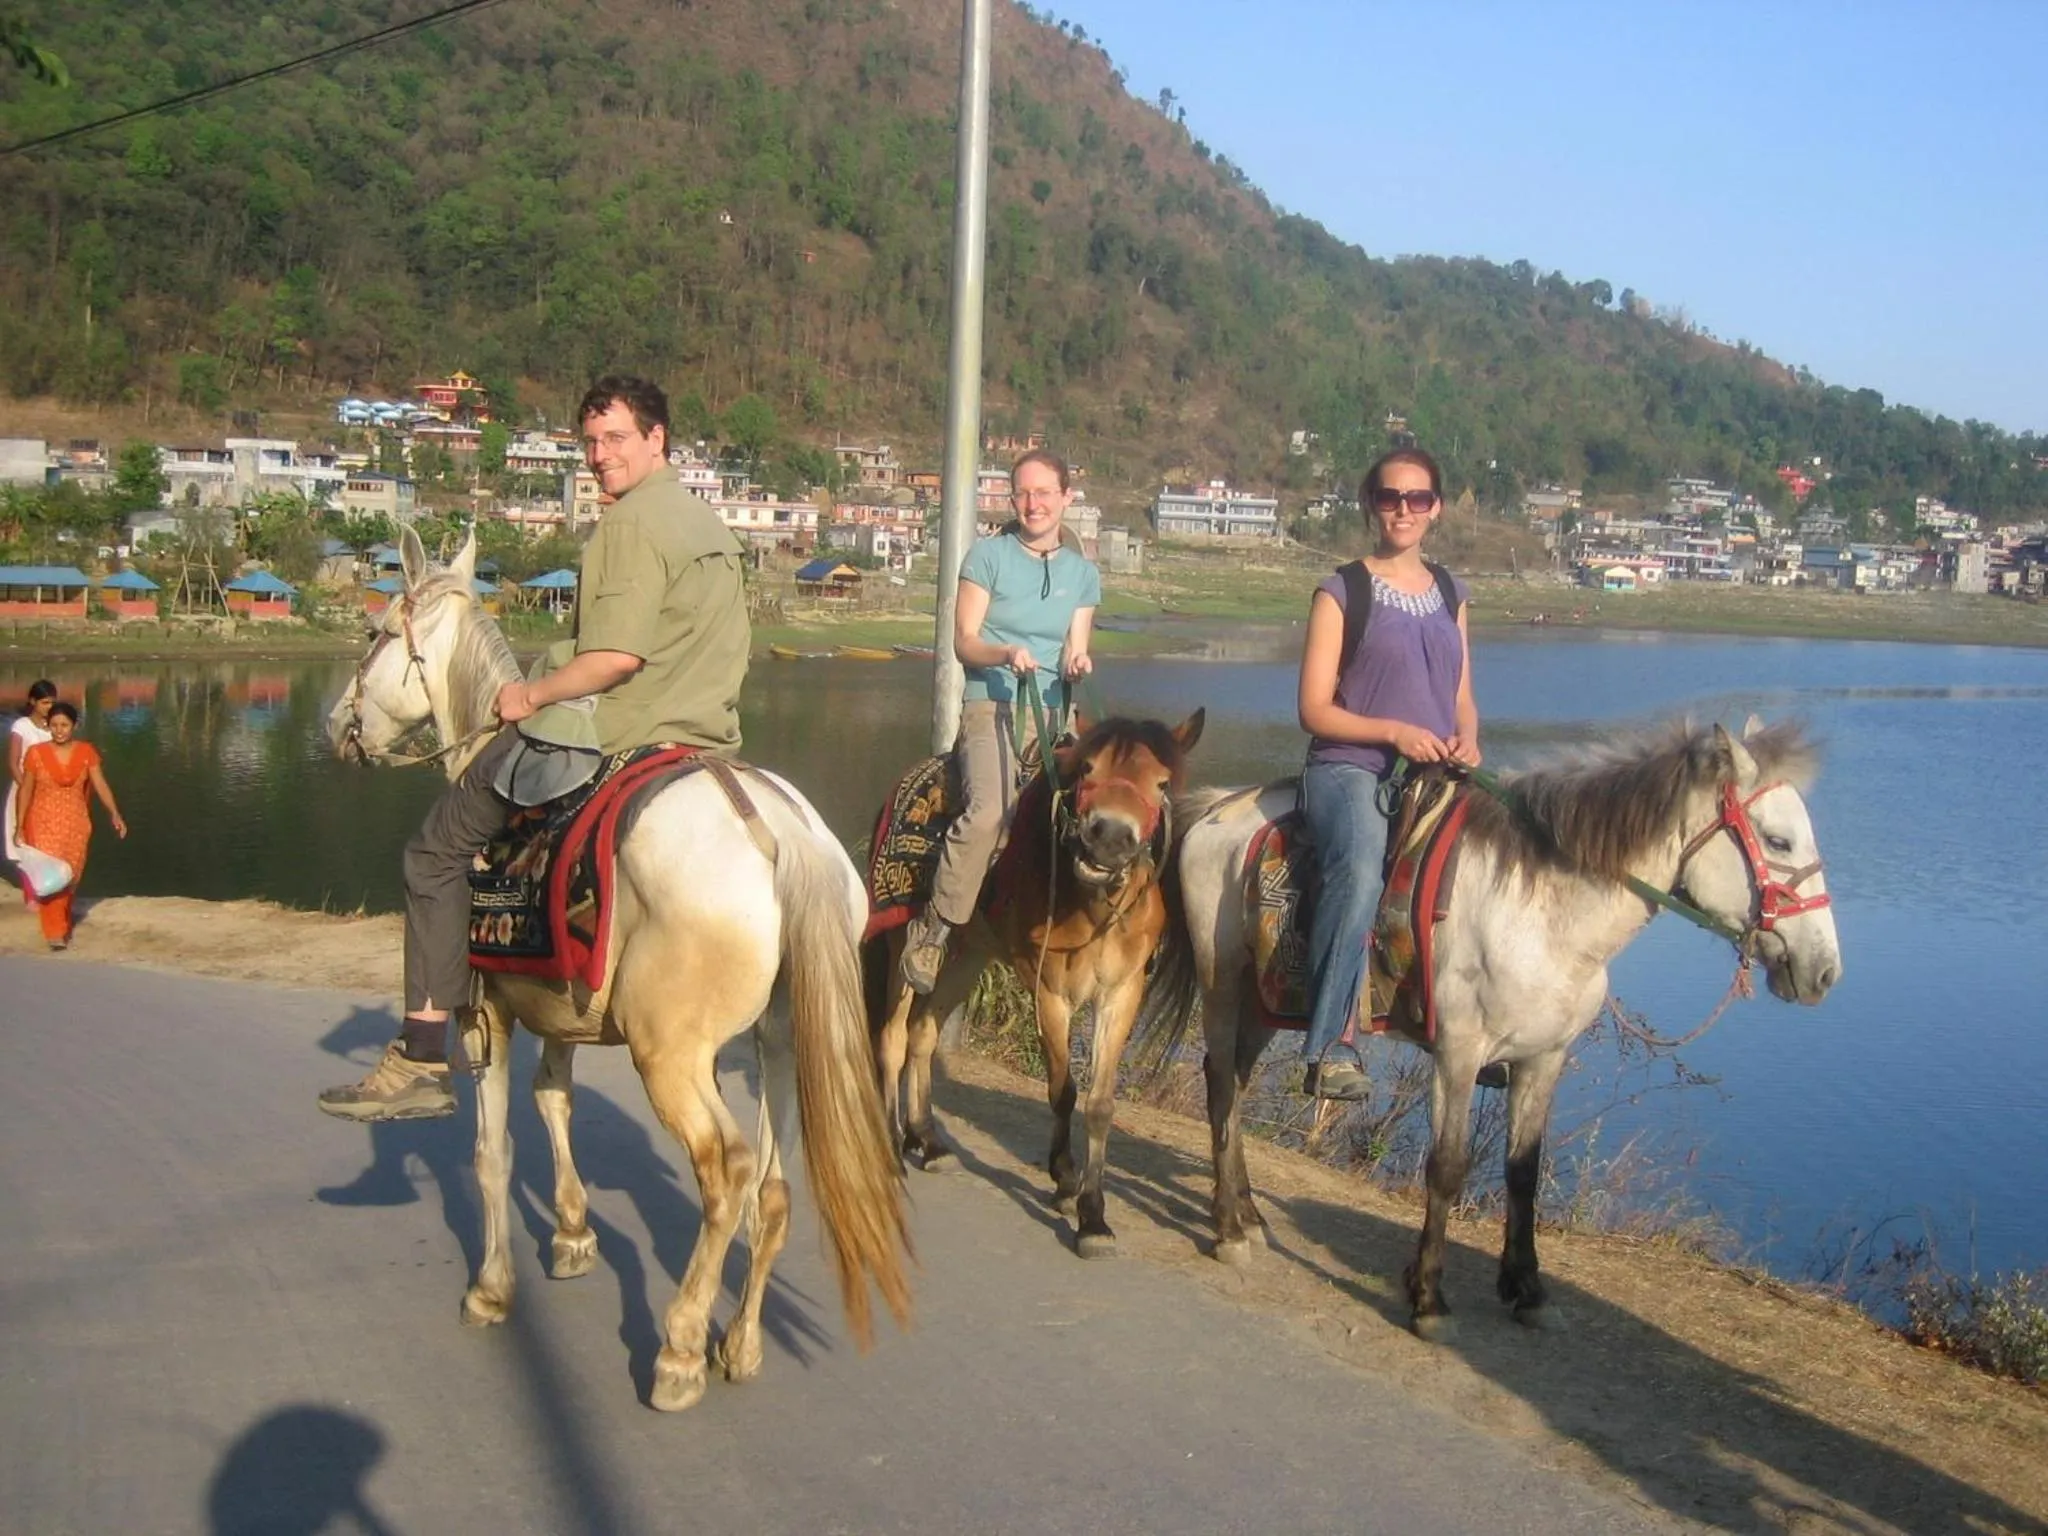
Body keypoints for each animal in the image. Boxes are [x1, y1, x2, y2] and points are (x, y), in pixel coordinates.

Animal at [327, 525, 911, 1410]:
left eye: (373, 635)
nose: (336, 725)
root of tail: (781, 832)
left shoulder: (486, 1011)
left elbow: (492, 1153)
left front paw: (491, 1289)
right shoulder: (558, 1009)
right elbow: (554, 1100)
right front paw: (572, 1233)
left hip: (671, 1054)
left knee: (728, 1171)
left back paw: (680, 1350)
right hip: (779, 1041)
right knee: (773, 1191)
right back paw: (739, 1344)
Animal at [865, 708, 1203, 1258]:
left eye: (1161, 782)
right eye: (1086, 768)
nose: (1110, 837)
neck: (1091, 903)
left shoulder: (1120, 995)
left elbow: (1101, 1104)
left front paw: (1094, 1217)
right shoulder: (1050, 991)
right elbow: (1062, 1090)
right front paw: (1064, 1180)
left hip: (968, 956)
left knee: (923, 1035)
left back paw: (927, 1140)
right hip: (901, 949)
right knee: (892, 1038)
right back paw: (893, 1144)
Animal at [1138, 717, 1841, 1339]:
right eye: (1778, 841)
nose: (1824, 971)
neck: (1546, 913)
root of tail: (1217, 809)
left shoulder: (1544, 1058)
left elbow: (1522, 1171)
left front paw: (1528, 1291)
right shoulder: (1458, 1053)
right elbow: (1447, 1167)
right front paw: (1427, 1299)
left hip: (1263, 1006)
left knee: (1232, 1082)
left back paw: (1250, 1214)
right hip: (1224, 988)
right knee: (1221, 1089)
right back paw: (1229, 1231)